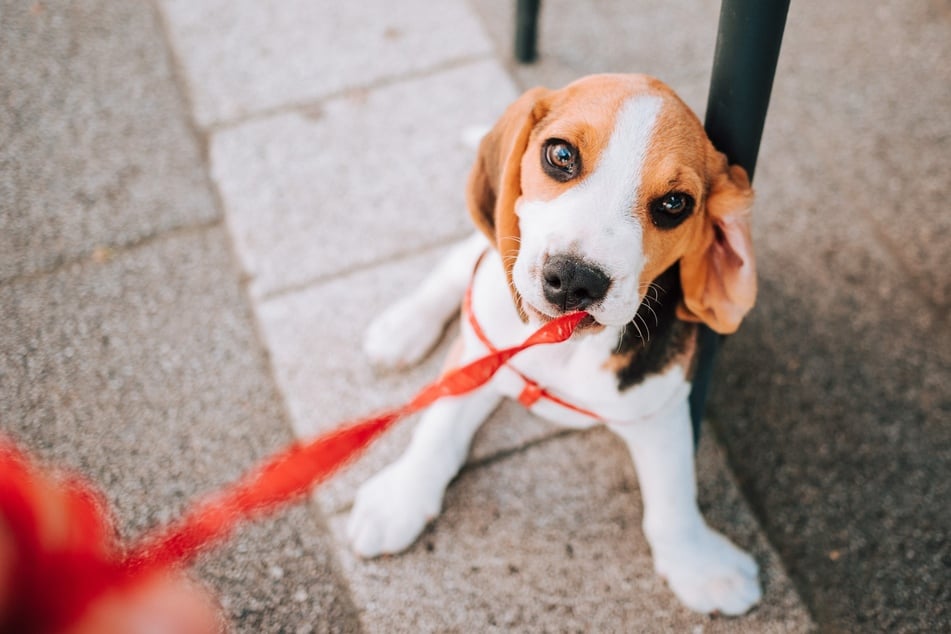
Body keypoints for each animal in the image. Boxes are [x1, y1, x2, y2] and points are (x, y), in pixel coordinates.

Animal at [348, 73, 760, 612]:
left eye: (675, 204)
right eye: (561, 155)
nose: (576, 280)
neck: (560, 346)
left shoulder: (659, 408)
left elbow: (673, 498)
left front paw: (702, 566)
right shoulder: (481, 355)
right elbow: (436, 431)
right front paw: (399, 499)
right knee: (461, 261)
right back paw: (403, 327)